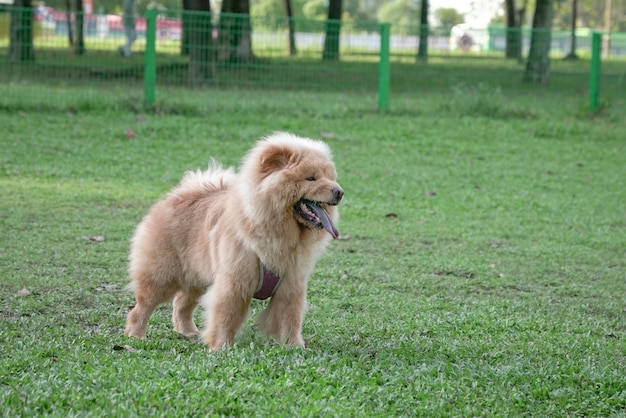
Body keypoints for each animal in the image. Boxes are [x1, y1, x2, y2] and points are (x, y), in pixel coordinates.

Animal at [124, 132, 344, 352]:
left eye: (330, 177)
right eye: (311, 178)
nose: (339, 191)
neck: (277, 231)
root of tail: (176, 196)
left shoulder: (291, 285)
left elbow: (291, 318)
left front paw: (295, 346)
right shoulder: (235, 281)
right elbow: (226, 316)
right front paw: (221, 347)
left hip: (198, 277)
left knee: (181, 303)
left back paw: (188, 332)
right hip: (162, 276)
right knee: (142, 307)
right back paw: (136, 335)